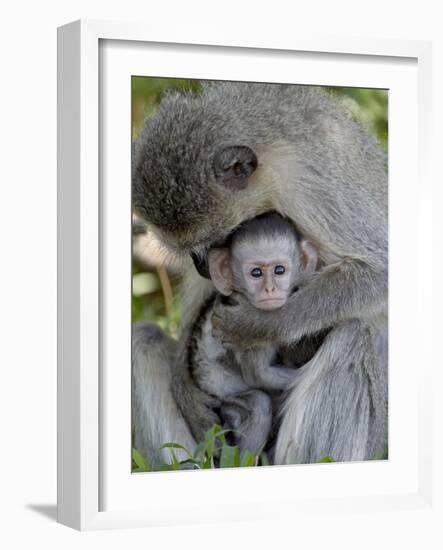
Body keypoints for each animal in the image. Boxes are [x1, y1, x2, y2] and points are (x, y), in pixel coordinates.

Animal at [187, 213, 320, 454]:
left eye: (279, 270)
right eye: (256, 273)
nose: (269, 289)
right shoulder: (251, 331)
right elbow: (259, 375)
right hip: (225, 400)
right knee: (259, 403)